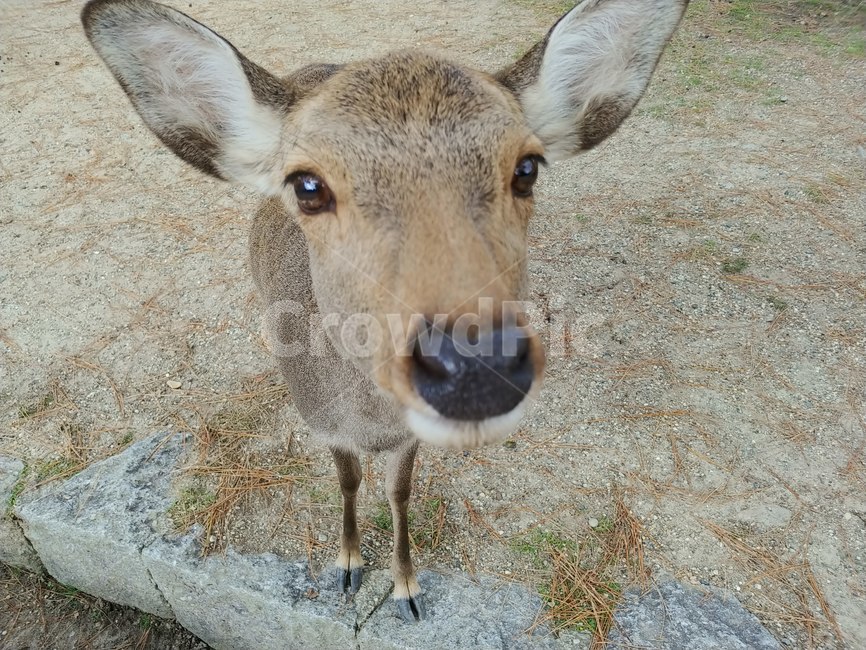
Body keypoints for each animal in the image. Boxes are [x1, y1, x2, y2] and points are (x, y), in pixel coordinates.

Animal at [81, 0, 688, 623]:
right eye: (307, 185)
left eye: (528, 168)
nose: (476, 366)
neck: (368, 423)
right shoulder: (324, 424)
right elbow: (348, 481)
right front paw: (348, 565)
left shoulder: (406, 438)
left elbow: (399, 493)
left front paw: (406, 589)